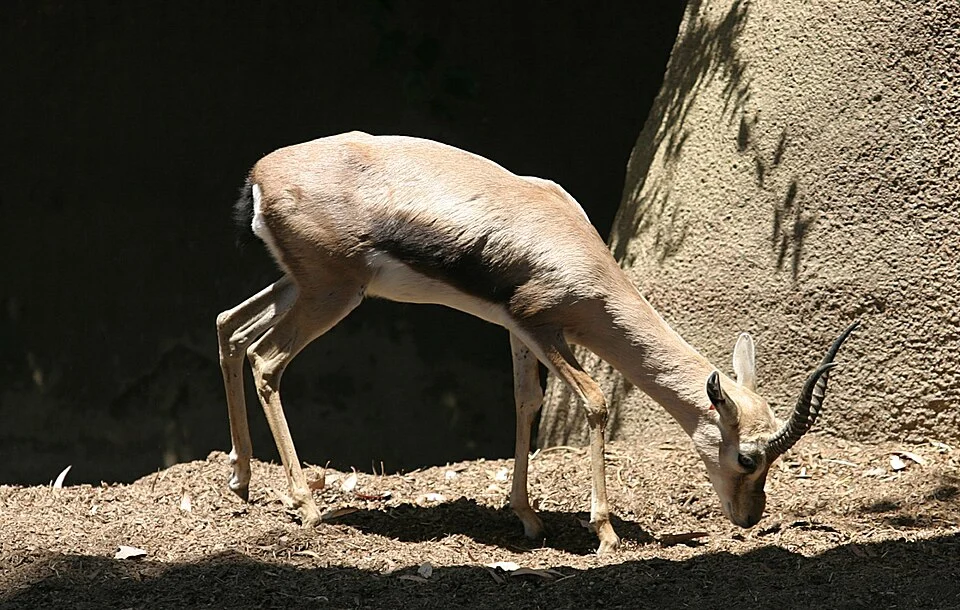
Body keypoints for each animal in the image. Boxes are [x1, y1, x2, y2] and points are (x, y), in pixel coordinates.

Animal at [216, 131, 858, 553]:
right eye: (748, 457)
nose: (751, 518)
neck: (574, 246)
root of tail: (260, 175)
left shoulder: (520, 329)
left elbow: (526, 402)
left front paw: (527, 517)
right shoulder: (542, 325)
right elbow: (595, 400)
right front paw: (604, 533)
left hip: (303, 285)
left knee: (230, 326)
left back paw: (243, 481)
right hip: (333, 292)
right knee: (266, 360)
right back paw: (305, 506)